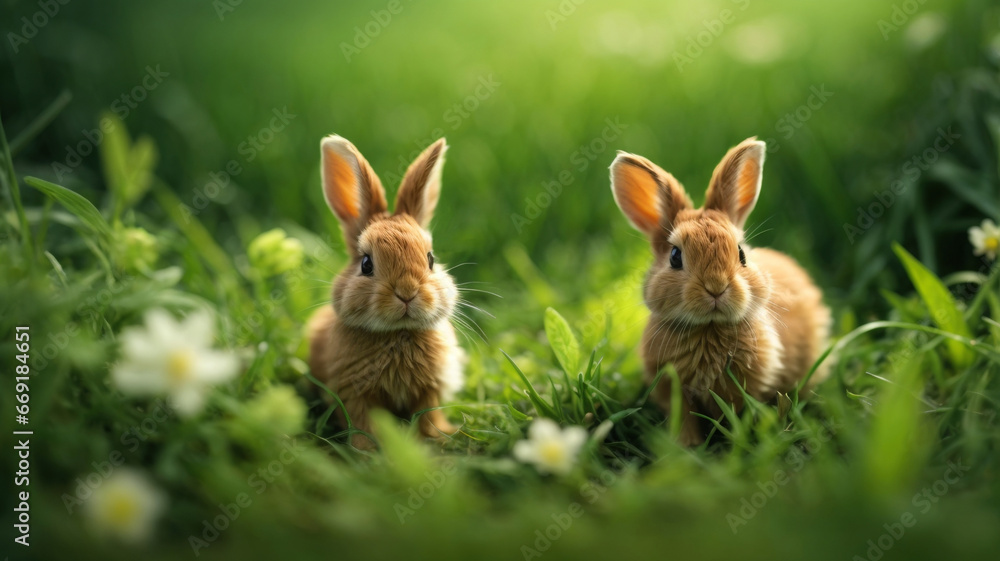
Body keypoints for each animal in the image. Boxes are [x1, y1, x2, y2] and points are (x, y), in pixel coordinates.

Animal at [308, 135, 465, 450]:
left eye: (431, 259)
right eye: (366, 264)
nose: (407, 292)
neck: (398, 334)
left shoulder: (430, 389)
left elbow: (428, 414)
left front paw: (437, 436)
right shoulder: (355, 393)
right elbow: (363, 421)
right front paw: (367, 448)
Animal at [609, 137, 831, 446]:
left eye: (741, 254)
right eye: (675, 256)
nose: (716, 287)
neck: (709, 327)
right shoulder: (673, 388)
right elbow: (684, 418)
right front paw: (687, 446)